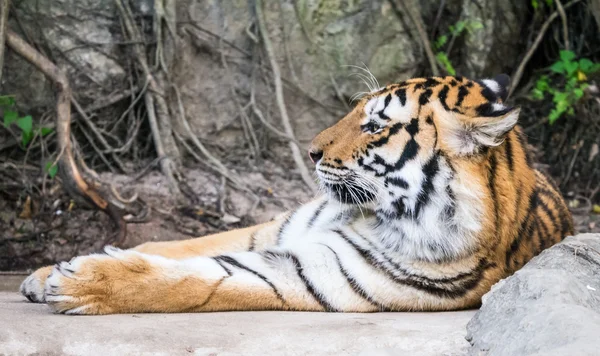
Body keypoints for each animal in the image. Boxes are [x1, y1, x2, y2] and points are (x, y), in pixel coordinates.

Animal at [19, 73, 572, 312]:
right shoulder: (273, 229)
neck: (366, 214)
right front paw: (43, 272)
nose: (309, 151)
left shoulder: (311, 272)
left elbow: (197, 282)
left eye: (375, 126)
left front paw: (79, 284)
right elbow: (174, 246)